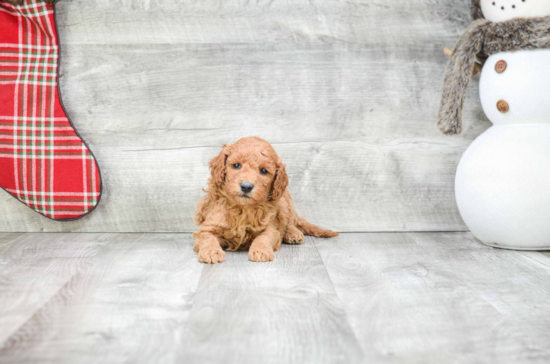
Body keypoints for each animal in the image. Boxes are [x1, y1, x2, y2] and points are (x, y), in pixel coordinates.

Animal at [194, 137, 340, 264]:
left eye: (264, 171)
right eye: (236, 165)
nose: (246, 186)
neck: (243, 208)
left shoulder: (270, 227)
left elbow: (264, 237)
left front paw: (261, 251)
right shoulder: (209, 225)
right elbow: (207, 237)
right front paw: (211, 251)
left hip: (284, 202)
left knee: (289, 222)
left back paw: (293, 234)